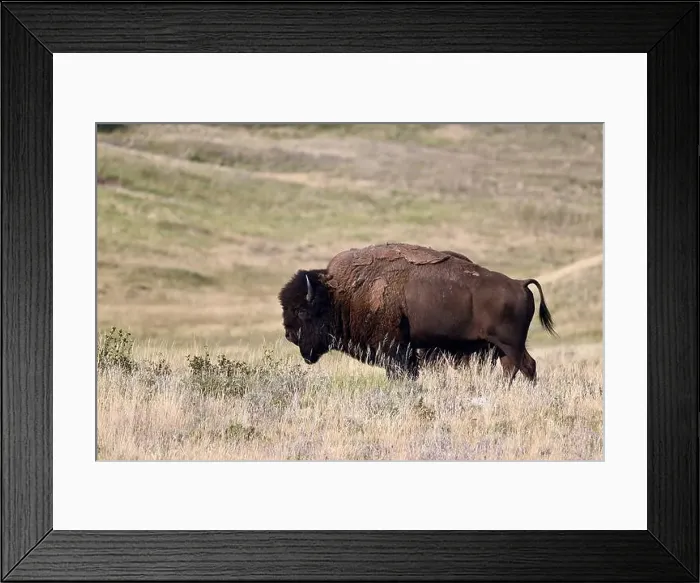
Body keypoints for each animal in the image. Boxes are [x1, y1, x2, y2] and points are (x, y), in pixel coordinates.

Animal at [278, 243, 556, 384]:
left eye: (301, 310)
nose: (289, 335)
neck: (339, 295)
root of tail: (519, 283)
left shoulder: (396, 351)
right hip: (503, 346)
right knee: (516, 367)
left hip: (510, 344)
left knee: (523, 366)